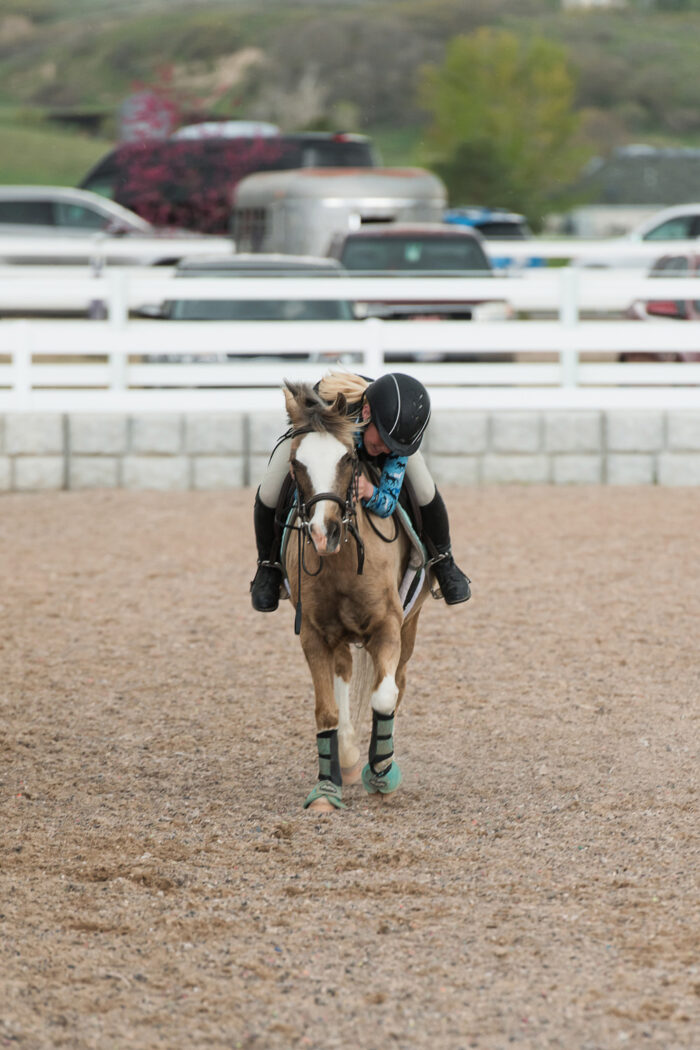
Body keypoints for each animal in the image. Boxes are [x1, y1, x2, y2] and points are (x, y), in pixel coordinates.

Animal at [281, 380, 431, 813]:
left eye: (348, 458)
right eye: (295, 463)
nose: (322, 534)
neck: (342, 560)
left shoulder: (388, 626)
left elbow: (385, 696)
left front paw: (382, 772)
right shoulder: (313, 634)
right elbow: (326, 709)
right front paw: (326, 788)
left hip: (410, 626)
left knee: (397, 682)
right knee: (344, 674)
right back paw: (345, 759)